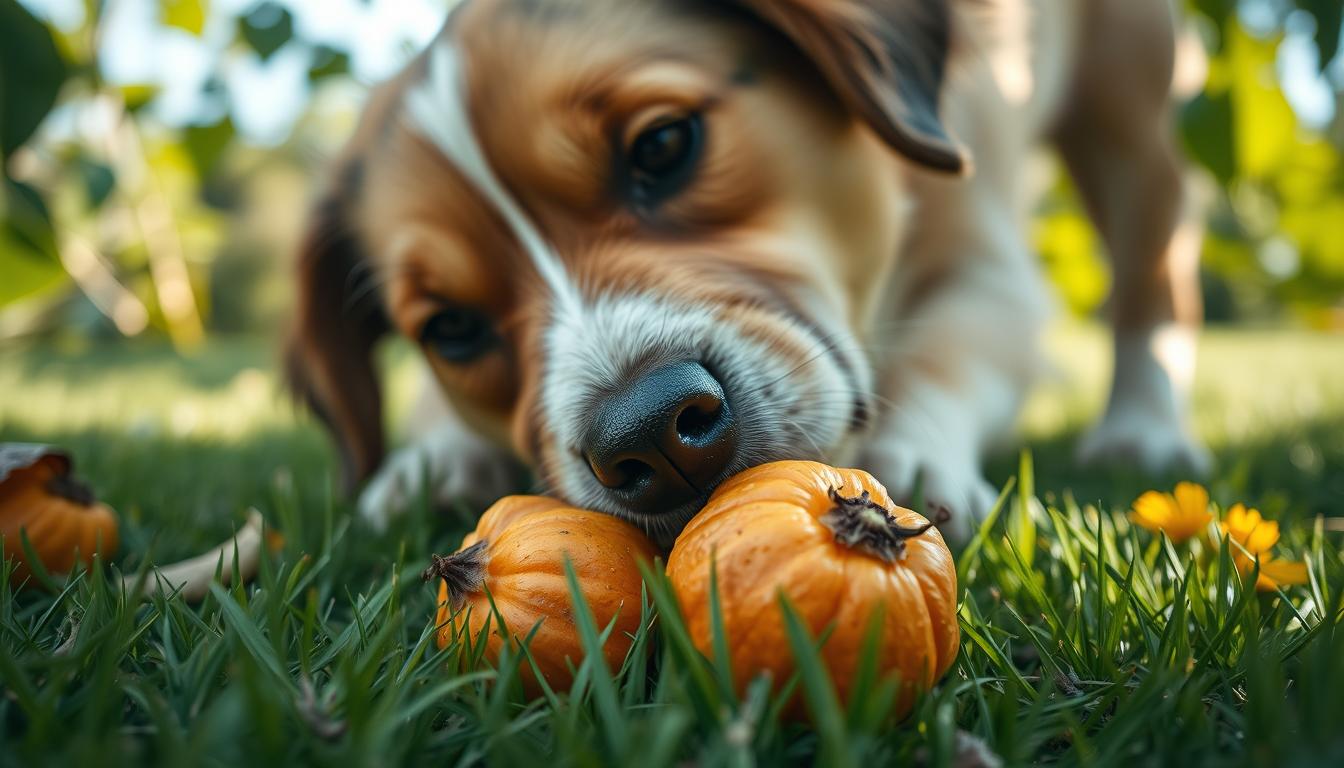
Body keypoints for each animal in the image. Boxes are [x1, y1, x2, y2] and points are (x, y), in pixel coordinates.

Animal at [283, 0, 1209, 546]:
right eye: (453, 328)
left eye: (663, 144)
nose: (650, 436)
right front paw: (431, 461)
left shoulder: (989, 266)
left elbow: (944, 353)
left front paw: (913, 454)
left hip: (1131, 111)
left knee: (1156, 269)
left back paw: (1143, 425)